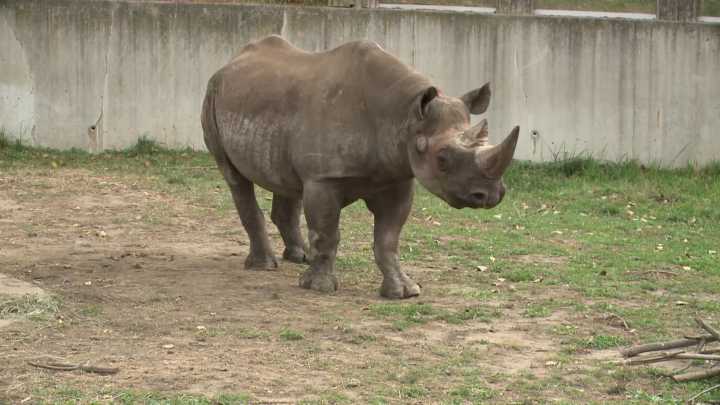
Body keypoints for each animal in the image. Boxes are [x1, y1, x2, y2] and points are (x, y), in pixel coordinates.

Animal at [201, 35, 519, 299]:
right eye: (442, 158)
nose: (491, 196)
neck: (404, 116)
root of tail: (231, 61)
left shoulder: (397, 176)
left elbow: (388, 239)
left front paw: (404, 291)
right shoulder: (324, 178)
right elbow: (327, 233)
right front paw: (319, 287)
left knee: (286, 180)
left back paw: (299, 257)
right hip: (212, 94)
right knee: (235, 178)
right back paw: (264, 265)